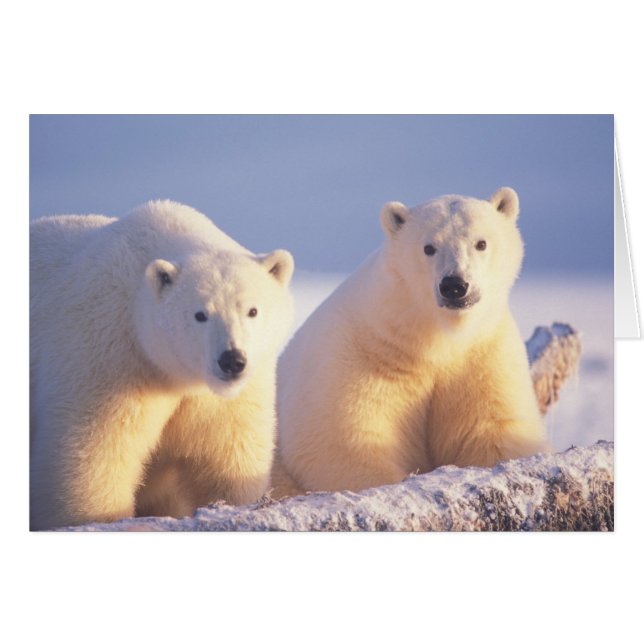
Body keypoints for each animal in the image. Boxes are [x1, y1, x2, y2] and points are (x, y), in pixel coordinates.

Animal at [30, 200, 294, 529]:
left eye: (252, 310)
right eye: (200, 314)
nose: (232, 361)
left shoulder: (224, 397)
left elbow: (228, 453)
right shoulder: (108, 356)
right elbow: (93, 455)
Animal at [272, 187, 549, 497]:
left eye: (481, 243)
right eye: (428, 247)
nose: (454, 285)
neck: (432, 339)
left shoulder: (482, 354)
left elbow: (494, 428)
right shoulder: (360, 355)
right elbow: (344, 441)